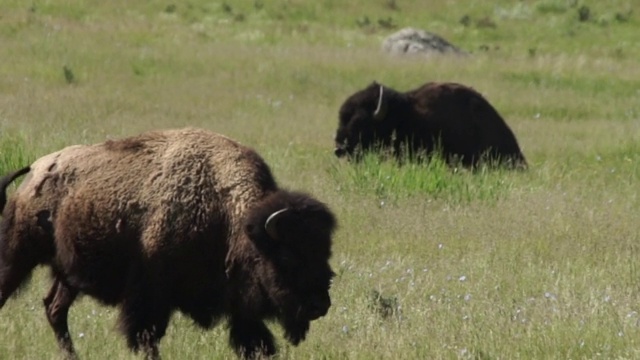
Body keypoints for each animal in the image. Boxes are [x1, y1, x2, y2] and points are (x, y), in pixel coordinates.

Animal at [0, 128, 338, 358]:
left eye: (324, 253)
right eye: (288, 258)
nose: (320, 305)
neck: (228, 215)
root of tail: (36, 170)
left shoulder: (241, 308)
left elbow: (256, 343)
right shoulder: (149, 296)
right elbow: (146, 337)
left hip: (69, 272)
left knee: (55, 308)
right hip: (20, 254)